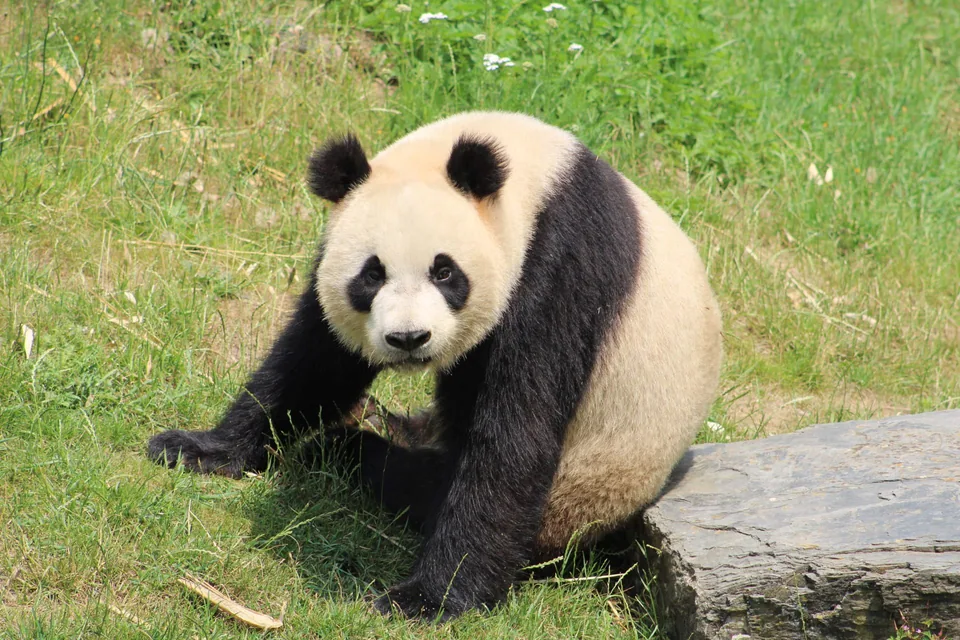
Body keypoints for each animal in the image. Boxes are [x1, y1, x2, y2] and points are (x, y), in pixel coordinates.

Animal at [148, 111, 723, 621]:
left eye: (444, 272)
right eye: (371, 275)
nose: (408, 339)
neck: (535, 180)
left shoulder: (560, 268)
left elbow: (514, 436)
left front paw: (430, 598)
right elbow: (317, 362)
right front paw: (199, 448)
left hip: (576, 491)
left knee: (417, 479)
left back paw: (347, 448)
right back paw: (377, 421)